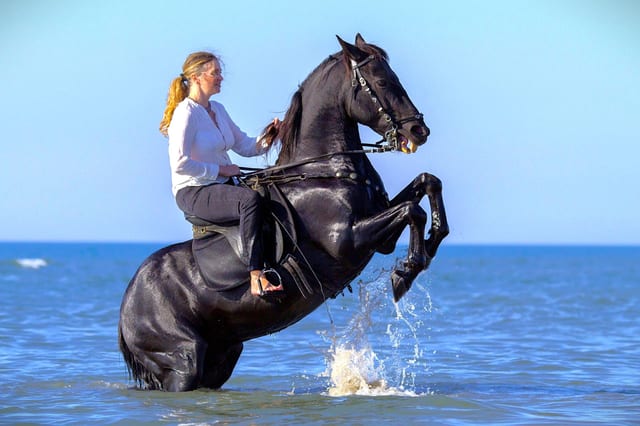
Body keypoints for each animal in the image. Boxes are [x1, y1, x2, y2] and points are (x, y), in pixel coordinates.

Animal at [118, 34, 449, 392]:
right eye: (383, 82)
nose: (419, 131)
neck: (322, 171)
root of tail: (126, 306)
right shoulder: (348, 239)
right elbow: (412, 210)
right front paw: (406, 272)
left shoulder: (379, 236)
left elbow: (428, 183)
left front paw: (431, 241)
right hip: (182, 362)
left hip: (221, 356)